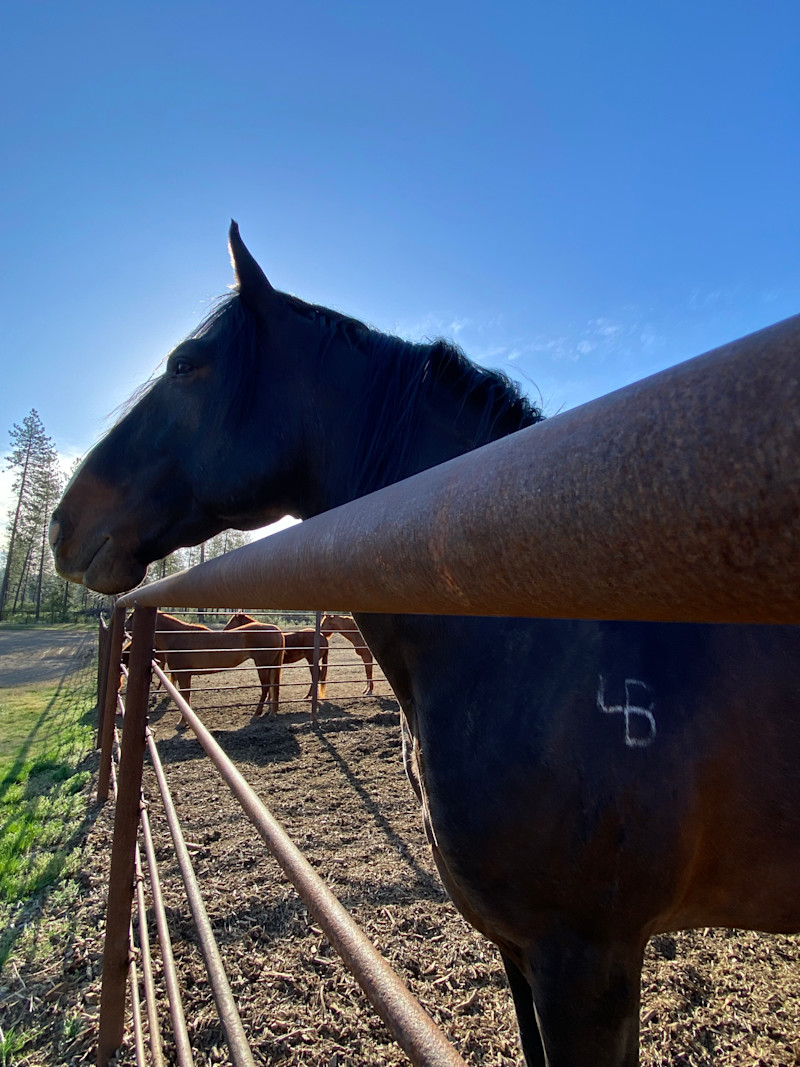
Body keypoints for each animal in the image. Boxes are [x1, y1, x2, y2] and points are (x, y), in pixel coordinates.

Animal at [152, 611, 284, 718]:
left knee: (265, 686)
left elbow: (185, 697)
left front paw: (182, 723)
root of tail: (275, 629)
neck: (176, 636)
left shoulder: (183, 674)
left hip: (262, 665)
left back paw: (257, 712)